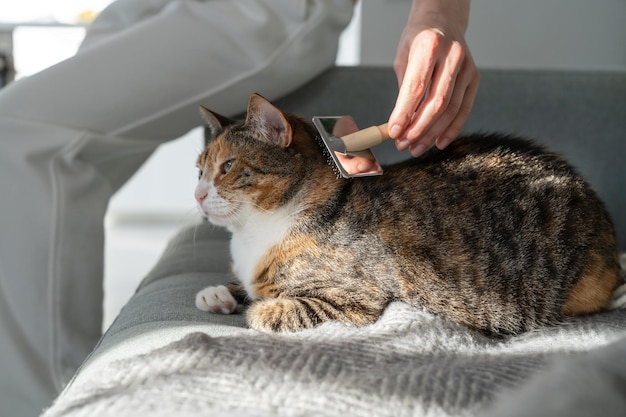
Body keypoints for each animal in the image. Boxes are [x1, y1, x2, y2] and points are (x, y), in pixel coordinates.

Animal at [191, 93, 620, 334]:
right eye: (199, 169)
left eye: (227, 167)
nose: (197, 194)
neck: (254, 234)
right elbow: (244, 287)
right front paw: (220, 293)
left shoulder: (351, 301)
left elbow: (269, 311)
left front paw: (253, 307)